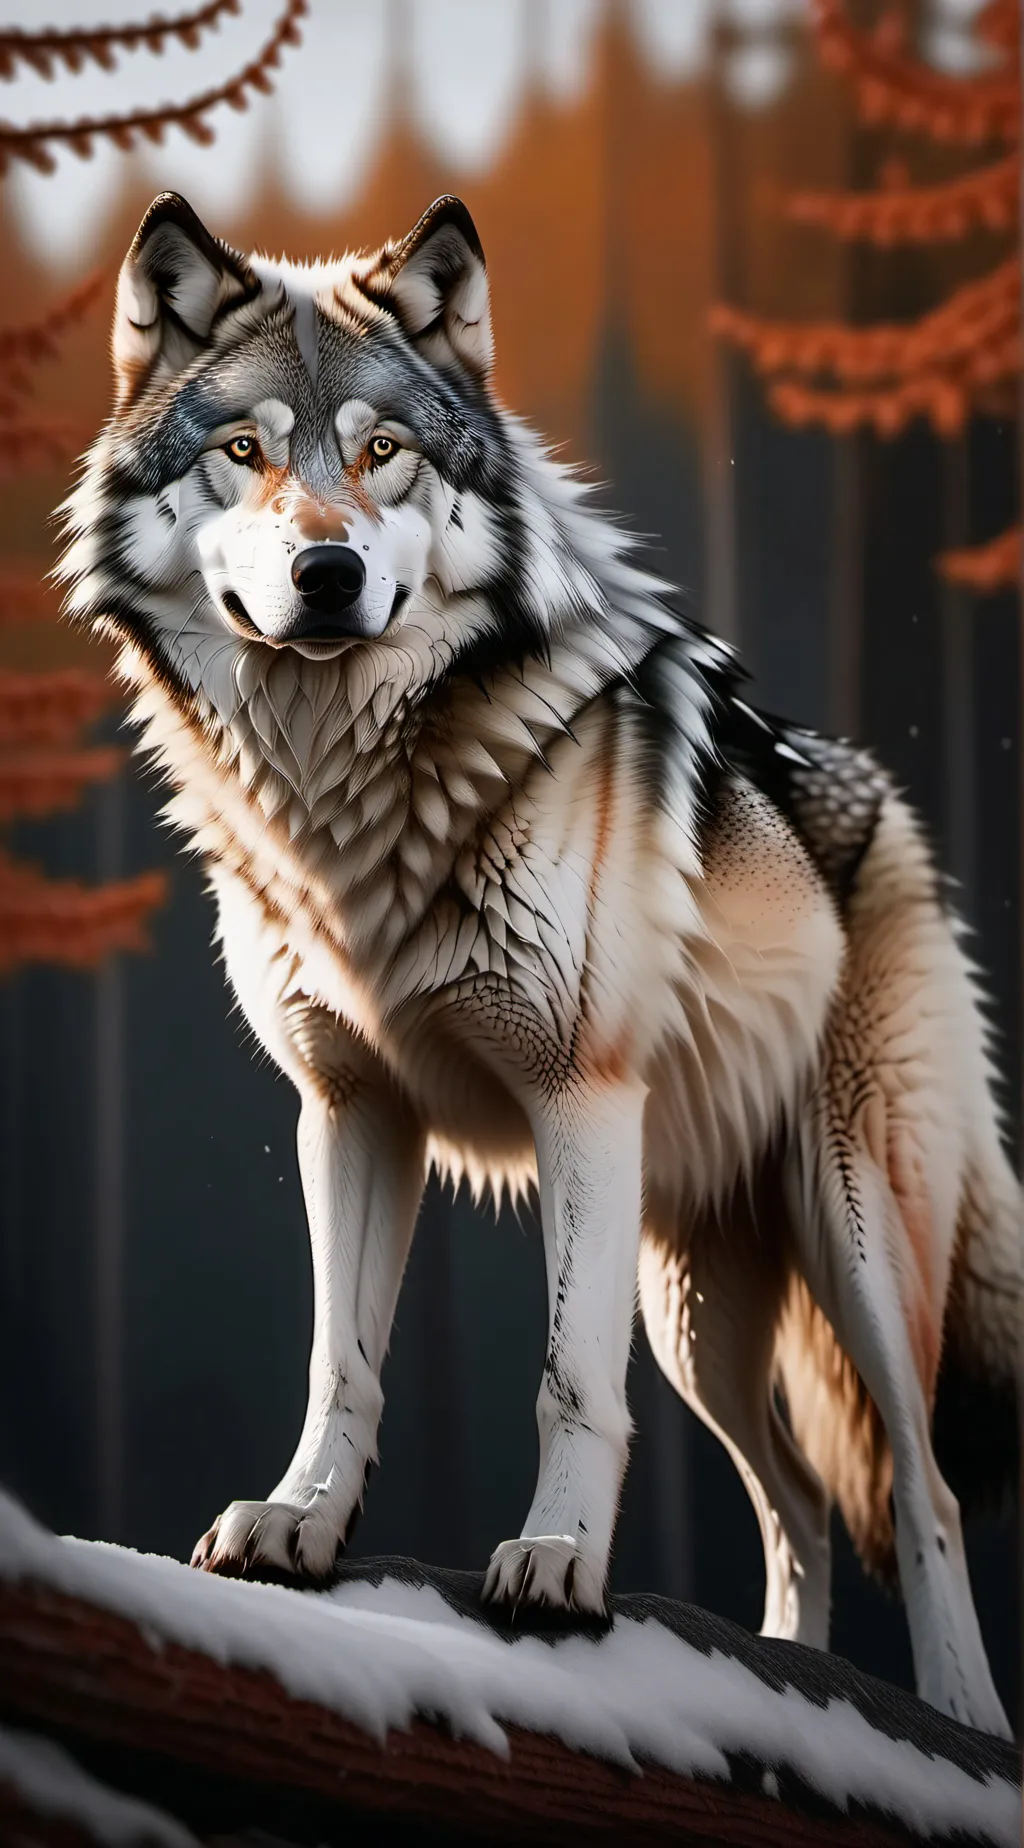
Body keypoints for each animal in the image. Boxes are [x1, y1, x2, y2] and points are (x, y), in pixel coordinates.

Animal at [61, 192, 1020, 1736]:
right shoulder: (352, 1112)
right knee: (798, 1501)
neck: (346, 804)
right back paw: (796, 1673)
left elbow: (568, 1381)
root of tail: (893, 811)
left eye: (383, 452)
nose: (326, 573)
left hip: (848, 1237)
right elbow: (342, 1360)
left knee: (919, 1491)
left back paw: (960, 1723)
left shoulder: (578, 1100)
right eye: (245, 452)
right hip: (691, 1305)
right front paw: (299, 1526)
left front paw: (559, 1567)